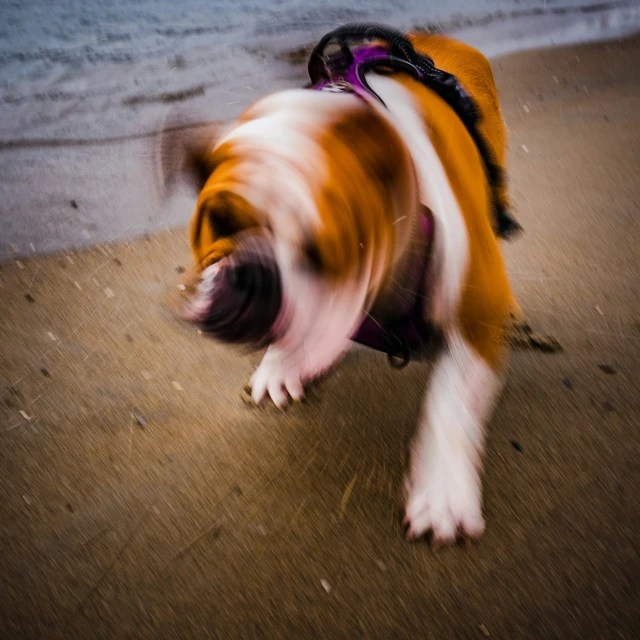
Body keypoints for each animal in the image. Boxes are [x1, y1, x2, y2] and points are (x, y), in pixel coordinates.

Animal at [160, 33, 520, 544]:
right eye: (220, 221)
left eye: (322, 252)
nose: (253, 275)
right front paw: (282, 363)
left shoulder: (478, 312)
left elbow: (448, 402)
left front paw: (443, 493)